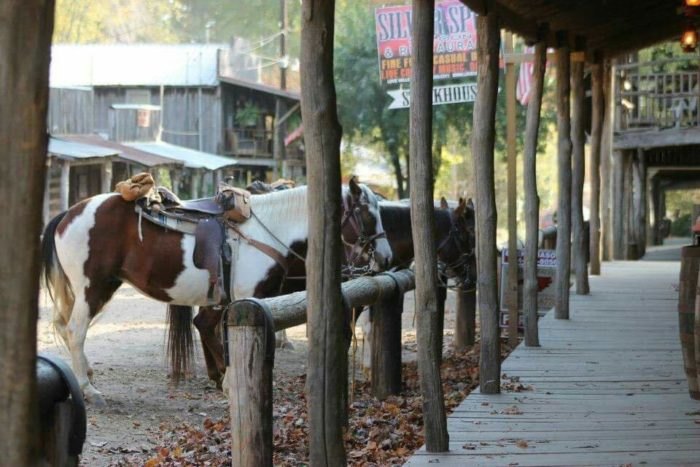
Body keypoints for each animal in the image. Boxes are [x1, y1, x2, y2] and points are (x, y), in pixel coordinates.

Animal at [42, 177, 394, 408]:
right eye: (367, 212)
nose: (386, 256)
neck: (267, 230)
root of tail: (67, 214)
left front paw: (225, 380)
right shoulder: (247, 299)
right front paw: (229, 384)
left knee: (65, 327)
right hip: (93, 288)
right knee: (75, 330)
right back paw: (88, 390)